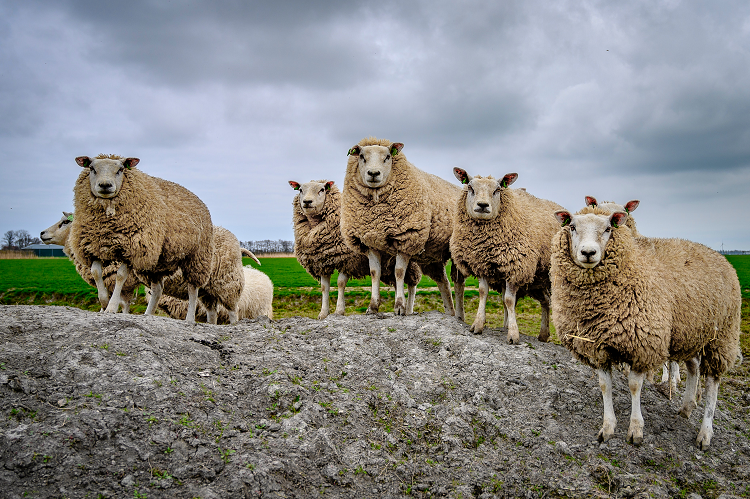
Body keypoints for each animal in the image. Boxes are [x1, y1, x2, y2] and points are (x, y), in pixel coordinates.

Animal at [68, 153, 214, 324]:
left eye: (121, 169)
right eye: (92, 168)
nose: (105, 185)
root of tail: (198, 200)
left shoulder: (132, 249)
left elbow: (120, 277)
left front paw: (111, 307)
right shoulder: (93, 247)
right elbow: (96, 273)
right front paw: (103, 303)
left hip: (197, 257)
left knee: (193, 288)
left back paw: (189, 318)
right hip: (157, 263)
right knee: (157, 289)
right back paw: (148, 314)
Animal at [292, 181, 424, 320]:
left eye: (322, 189)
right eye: (300, 190)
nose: (307, 202)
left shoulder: (348, 261)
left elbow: (340, 283)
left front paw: (339, 311)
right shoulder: (322, 262)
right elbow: (324, 287)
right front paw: (323, 313)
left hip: (411, 261)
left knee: (412, 285)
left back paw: (408, 310)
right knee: (397, 282)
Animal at [340, 137, 464, 318]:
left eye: (387, 157)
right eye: (362, 156)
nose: (373, 173)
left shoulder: (407, 239)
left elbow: (399, 272)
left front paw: (399, 307)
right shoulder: (370, 243)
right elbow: (374, 273)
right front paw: (373, 307)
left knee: (458, 282)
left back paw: (460, 316)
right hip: (432, 257)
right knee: (443, 282)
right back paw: (450, 313)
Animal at [446, 168, 564, 344]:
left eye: (497, 190)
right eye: (470, 187)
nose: (482, 205)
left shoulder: (515, 267)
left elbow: (509, 300)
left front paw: (513, 334)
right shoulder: (482, 264)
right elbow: (483, 292)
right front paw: (478, 325)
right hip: (537, 280)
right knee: (545, 301)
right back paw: (543, 334)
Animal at [548, 205, 744, 452]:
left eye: (608, 228)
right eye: (572, 227)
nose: (588, 253)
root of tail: (719, 256)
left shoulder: (642, 344)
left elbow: (633, 386)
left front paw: (635, 430)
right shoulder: (597, 346)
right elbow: (604, 386)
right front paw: (607, 428)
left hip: (721, 337)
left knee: (712, 384)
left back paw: (705, 433)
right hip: (691, 332)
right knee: (693, 367)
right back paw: (686, 407)